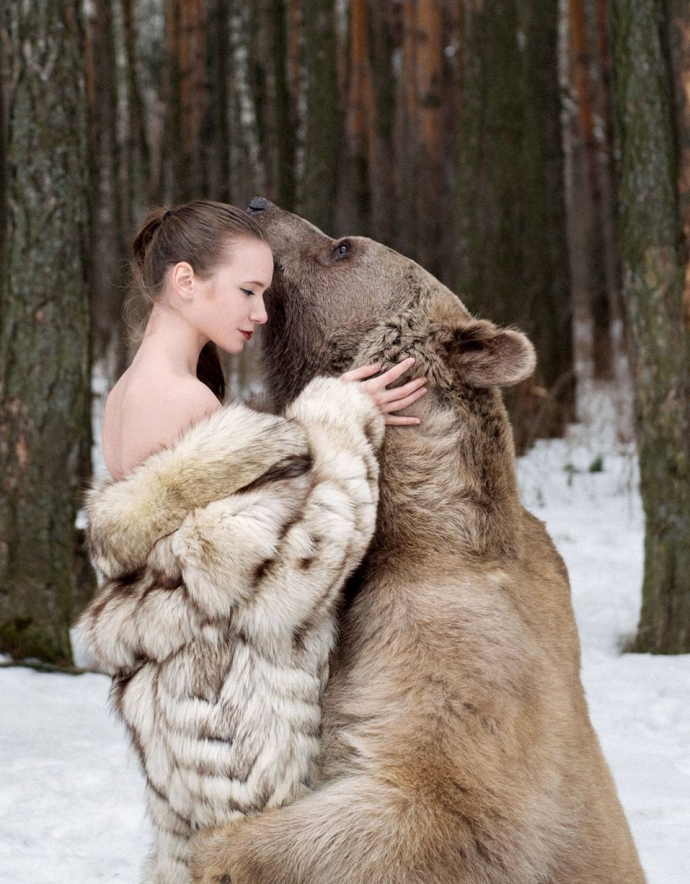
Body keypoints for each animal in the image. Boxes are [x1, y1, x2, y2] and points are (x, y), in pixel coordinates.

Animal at [189, 198, 646, 884]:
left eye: (343, 247)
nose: (260, 205)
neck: (411, 529)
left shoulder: (457, 666)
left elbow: (421, 804)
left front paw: (216, 848)